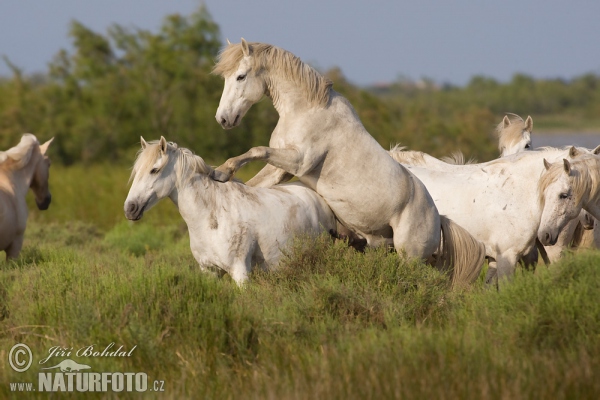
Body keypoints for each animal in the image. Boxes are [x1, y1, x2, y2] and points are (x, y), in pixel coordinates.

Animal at [124, 137, 338, 284]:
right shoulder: (209, 272)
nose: (130, 208)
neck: (212, 216)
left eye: (154, 170)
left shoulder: (240, 272)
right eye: (136, 171)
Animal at [209, 38, 486, 288]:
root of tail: (438, 217)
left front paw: (220, 172)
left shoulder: (299, 161)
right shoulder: (280, 170)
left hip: (410, 256)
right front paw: (222, 177)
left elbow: (257, 150)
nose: (223, 119)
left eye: (241, 77)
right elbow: (255, 180)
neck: (306, 110)